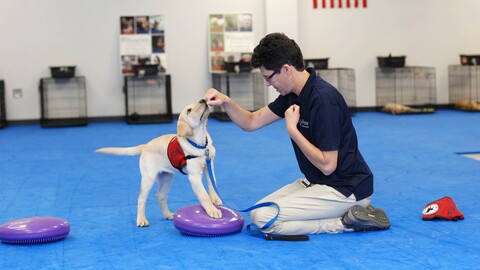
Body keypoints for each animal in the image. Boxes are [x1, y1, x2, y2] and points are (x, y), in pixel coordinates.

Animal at [95, 99, 223, 226]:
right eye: (189, 110)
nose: (203, 100)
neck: (201, 144)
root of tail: (145, 146)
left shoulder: (209, 166)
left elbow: (212, 184)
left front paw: (216, 199)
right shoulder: (194, 177)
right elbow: (204, 195)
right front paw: (213, 211)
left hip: (166, 177)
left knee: (160, 196)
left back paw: (168, 215)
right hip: (148, 178)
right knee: (141, 198)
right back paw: (141, 220)